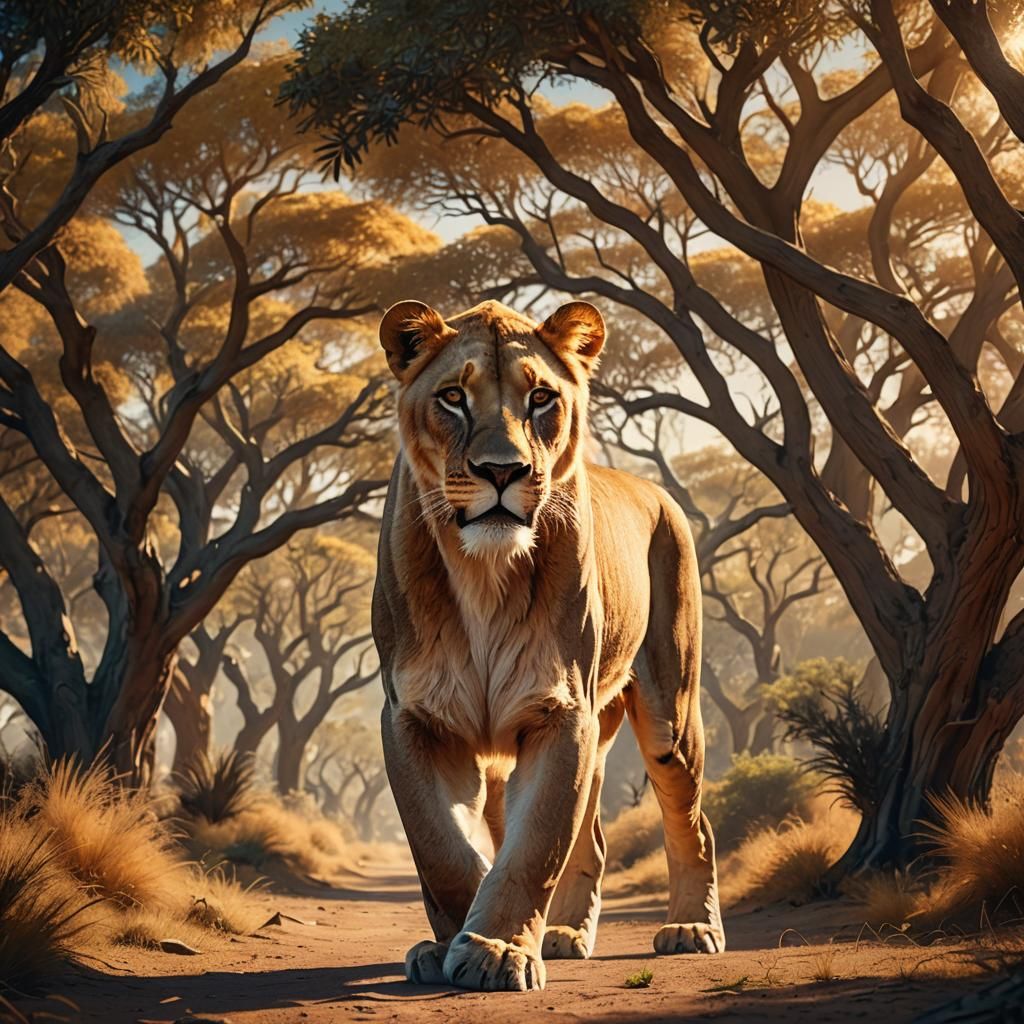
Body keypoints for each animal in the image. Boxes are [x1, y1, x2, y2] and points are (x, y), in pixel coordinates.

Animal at [372, 298, 724, 993]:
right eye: (452, 397)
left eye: (540, 398)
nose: (502, 471)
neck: (484, 572)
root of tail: (658, 491)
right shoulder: (413, 719)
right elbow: (441, 848)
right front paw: (450, 941)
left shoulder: (562, 712)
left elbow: (535, 846)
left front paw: (495, 950)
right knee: (592, 837)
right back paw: (563, 934)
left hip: (670, 715)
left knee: (693, 822)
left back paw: (691, 929)